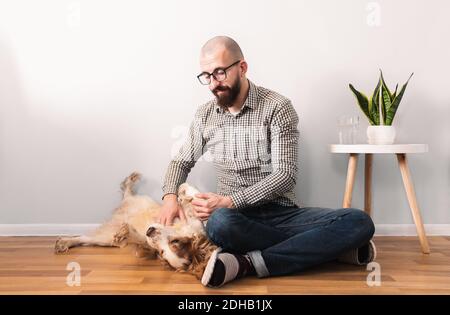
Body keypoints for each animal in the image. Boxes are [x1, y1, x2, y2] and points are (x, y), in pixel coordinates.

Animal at [53, 174, 219, 280]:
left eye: (162, 251)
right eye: (174, 242)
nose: (149, 231)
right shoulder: (189, 220)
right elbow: (193, 198)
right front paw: (184, 191)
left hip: (108, 237)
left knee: (86, 238)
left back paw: (64, 242)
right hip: (138, 202)